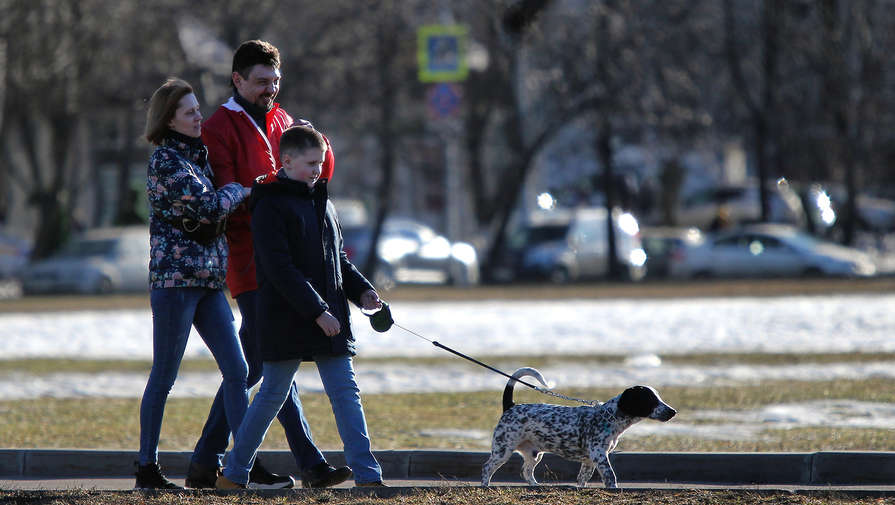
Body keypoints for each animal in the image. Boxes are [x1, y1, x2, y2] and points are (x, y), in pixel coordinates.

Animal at [486, 366, 676, 488]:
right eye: (650, 400)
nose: (673, 411)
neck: (609, 416)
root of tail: (511, 406)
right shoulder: (599, 455)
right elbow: (610, 477)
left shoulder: (589, 461)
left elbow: (582, 479)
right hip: (503, 450)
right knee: (487, 468)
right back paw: (485, 486)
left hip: (533, 454)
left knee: (526, 472)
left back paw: (535, 486)